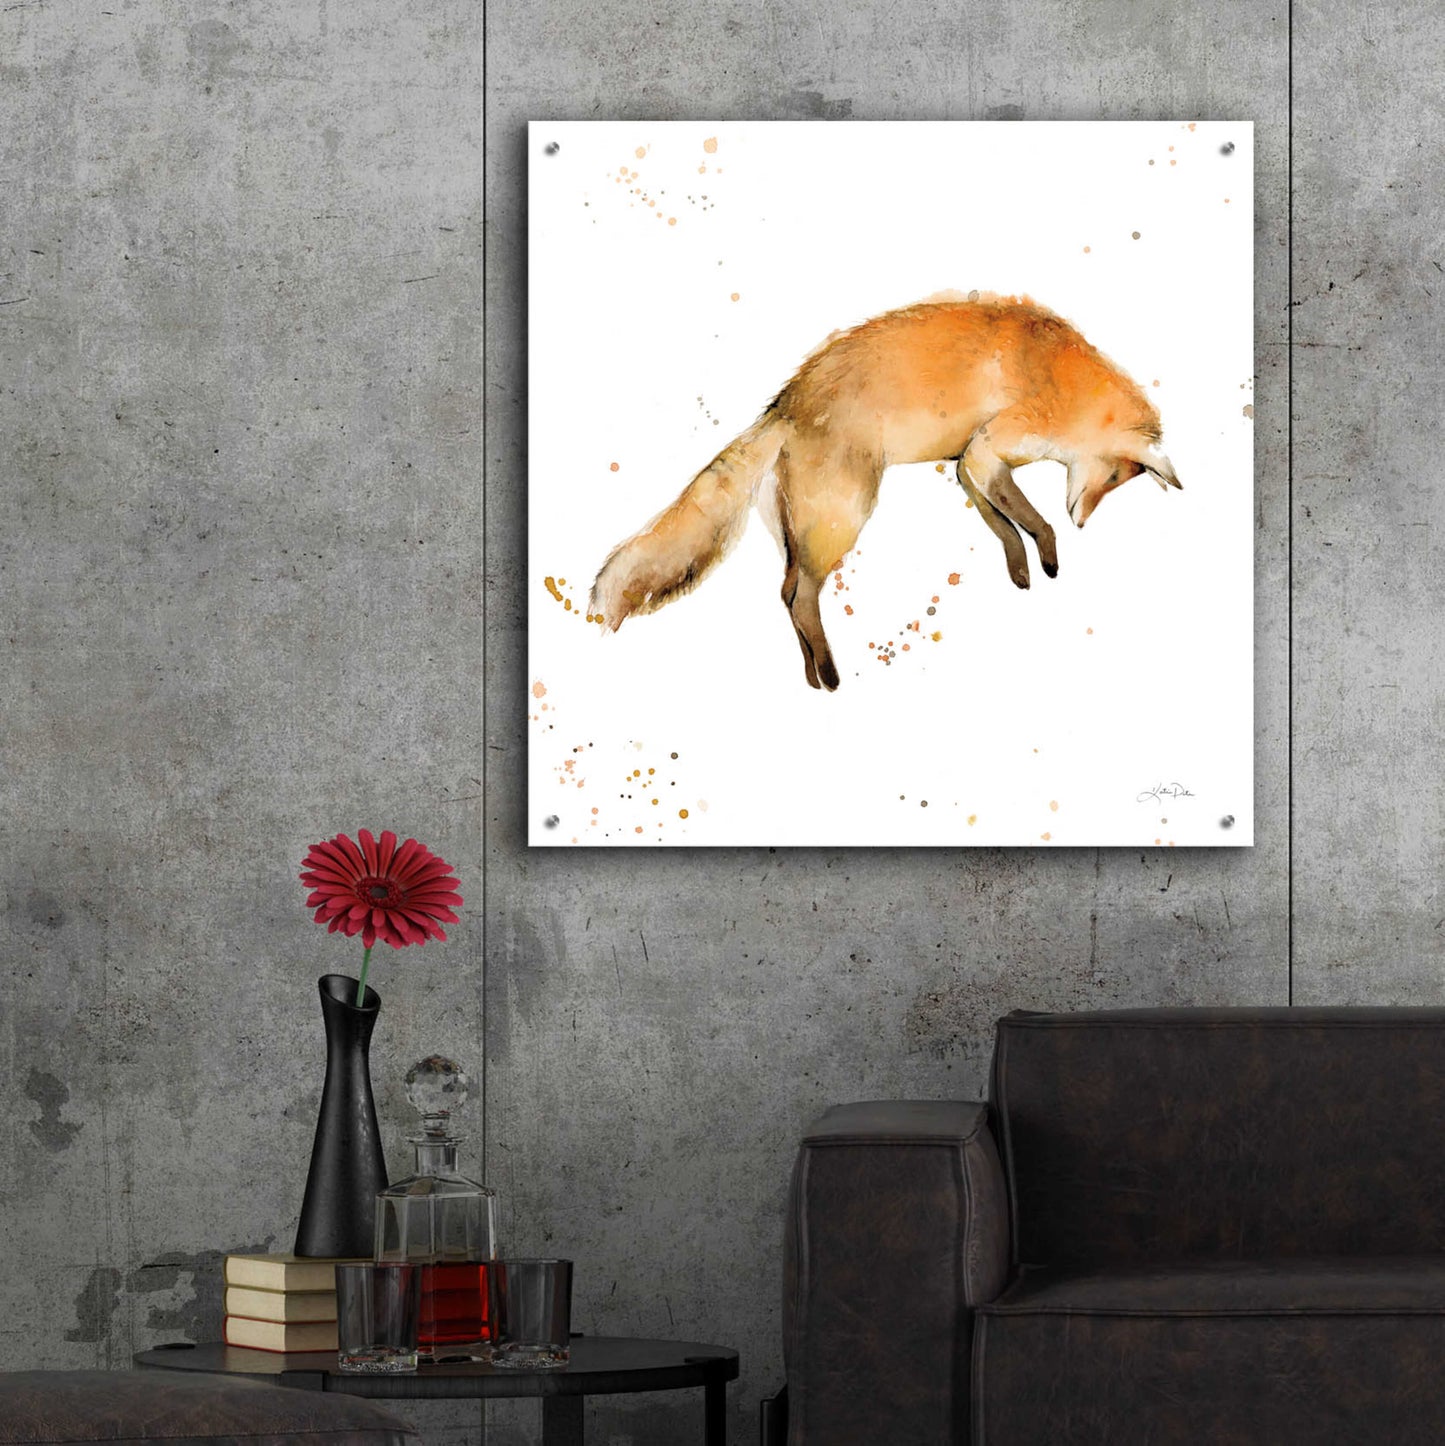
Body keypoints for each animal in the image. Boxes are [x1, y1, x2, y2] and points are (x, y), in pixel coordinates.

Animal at [590, 293, 1180, 692]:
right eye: (1113, 477)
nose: (1084, 519)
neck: (1063, 379)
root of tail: (784, 406)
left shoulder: (969, 467)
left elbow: (1004, 526)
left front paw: (1022, 570)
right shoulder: (987, 451)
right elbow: (1034, 520)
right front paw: (1049, 554)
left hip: (803, 531)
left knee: (786, 593)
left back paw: (812, 674)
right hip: (844, 517)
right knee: (801, 596)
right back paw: (831, 675)